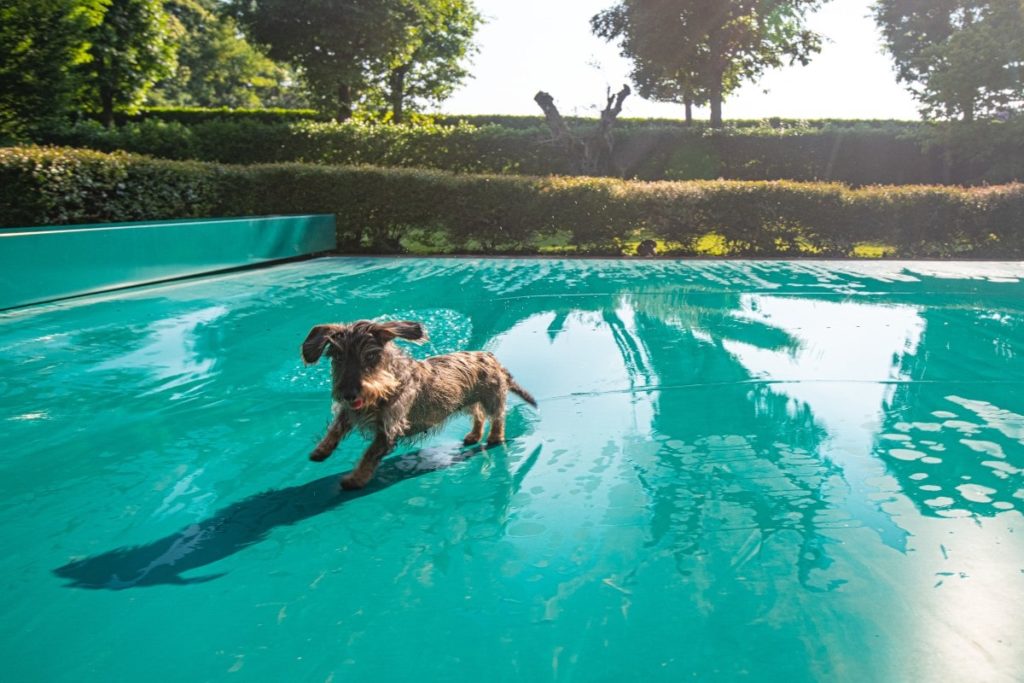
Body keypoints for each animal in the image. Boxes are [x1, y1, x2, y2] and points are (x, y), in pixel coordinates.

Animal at [299, 321, 540, 489]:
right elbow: (336, 428)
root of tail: (491, 357)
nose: (348, 393)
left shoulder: (389, 429)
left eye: (370, 356)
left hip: (491, 398)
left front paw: (355, 479)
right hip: (468, 400)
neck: (386, 386)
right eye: (338, 357)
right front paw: (321, 450)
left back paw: (494, 438)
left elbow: (369, 454)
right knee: (479, 416)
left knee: (497, 417)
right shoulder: (351, 412)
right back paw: (474, 435)